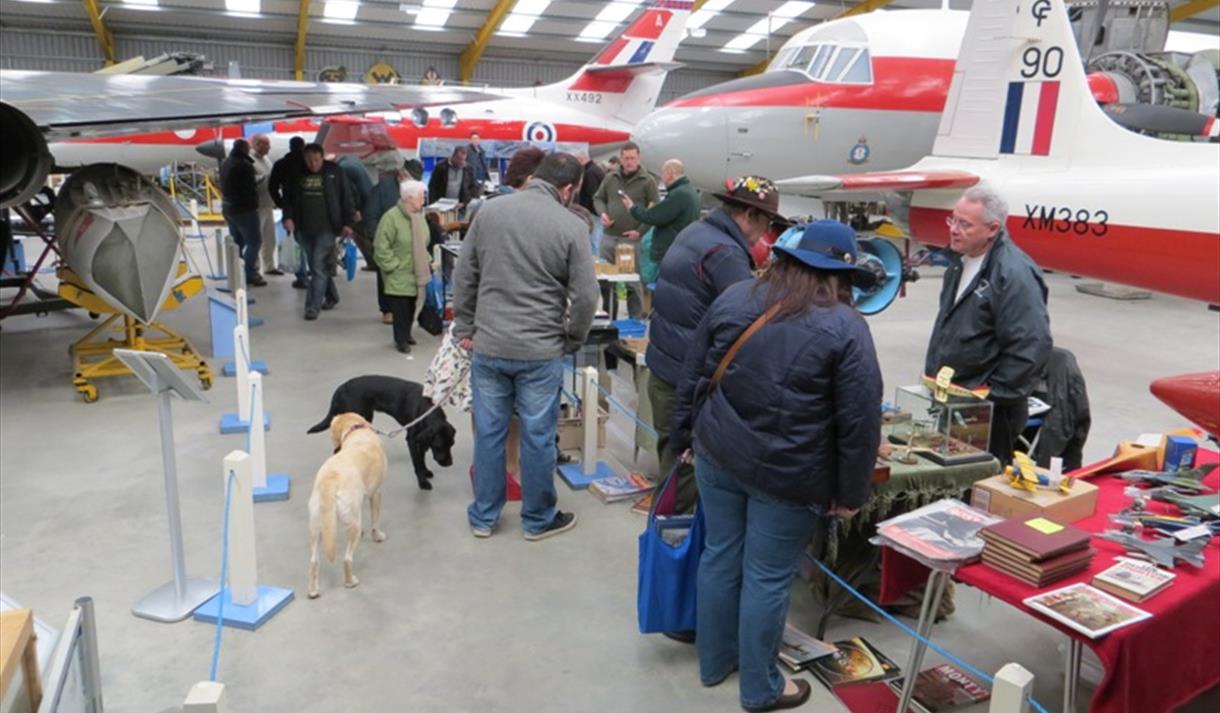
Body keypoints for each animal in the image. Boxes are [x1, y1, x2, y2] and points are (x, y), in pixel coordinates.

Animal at [305, 373, 458, 490]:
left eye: (451, 444)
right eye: (439, 446)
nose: (449, 463)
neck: (426, 410)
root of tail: (341, 388)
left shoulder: (421, 440)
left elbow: (422, 458)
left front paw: (426, 472)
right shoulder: (412, 440)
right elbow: (417, 462)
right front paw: (423, 482)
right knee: (338, 449)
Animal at [305, 412, 385, 595]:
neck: (357, 430)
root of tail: (330, 480)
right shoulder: (375, 493)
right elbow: (376, 521)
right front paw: (377, 536)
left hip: (316, 527)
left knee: (313, 560)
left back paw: (313, 591)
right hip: (354, 522)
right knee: (347, 559)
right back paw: (350, 582)